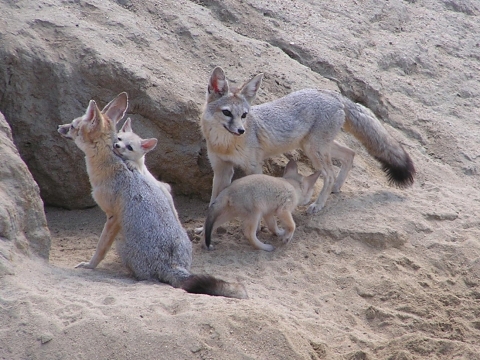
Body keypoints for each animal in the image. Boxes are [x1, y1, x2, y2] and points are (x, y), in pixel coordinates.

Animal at [57, 92, 248, 298]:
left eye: (73, 126)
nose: (60, 127)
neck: (112, 162)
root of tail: (172, 265)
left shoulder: (113, 217)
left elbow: (101, 247)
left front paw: (90, 265)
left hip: (121, 242)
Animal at [201, 67, 414, 214]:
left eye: (244, 115)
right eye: (227, 113)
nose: (241, 130)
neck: (225, 145)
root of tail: (333, 94)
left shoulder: (254, 167)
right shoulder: (221, 168)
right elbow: (213, 201)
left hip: (314, 149)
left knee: (329, 173)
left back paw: (318, 204)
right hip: (316, 146)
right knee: (350, 153)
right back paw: (336, 188)